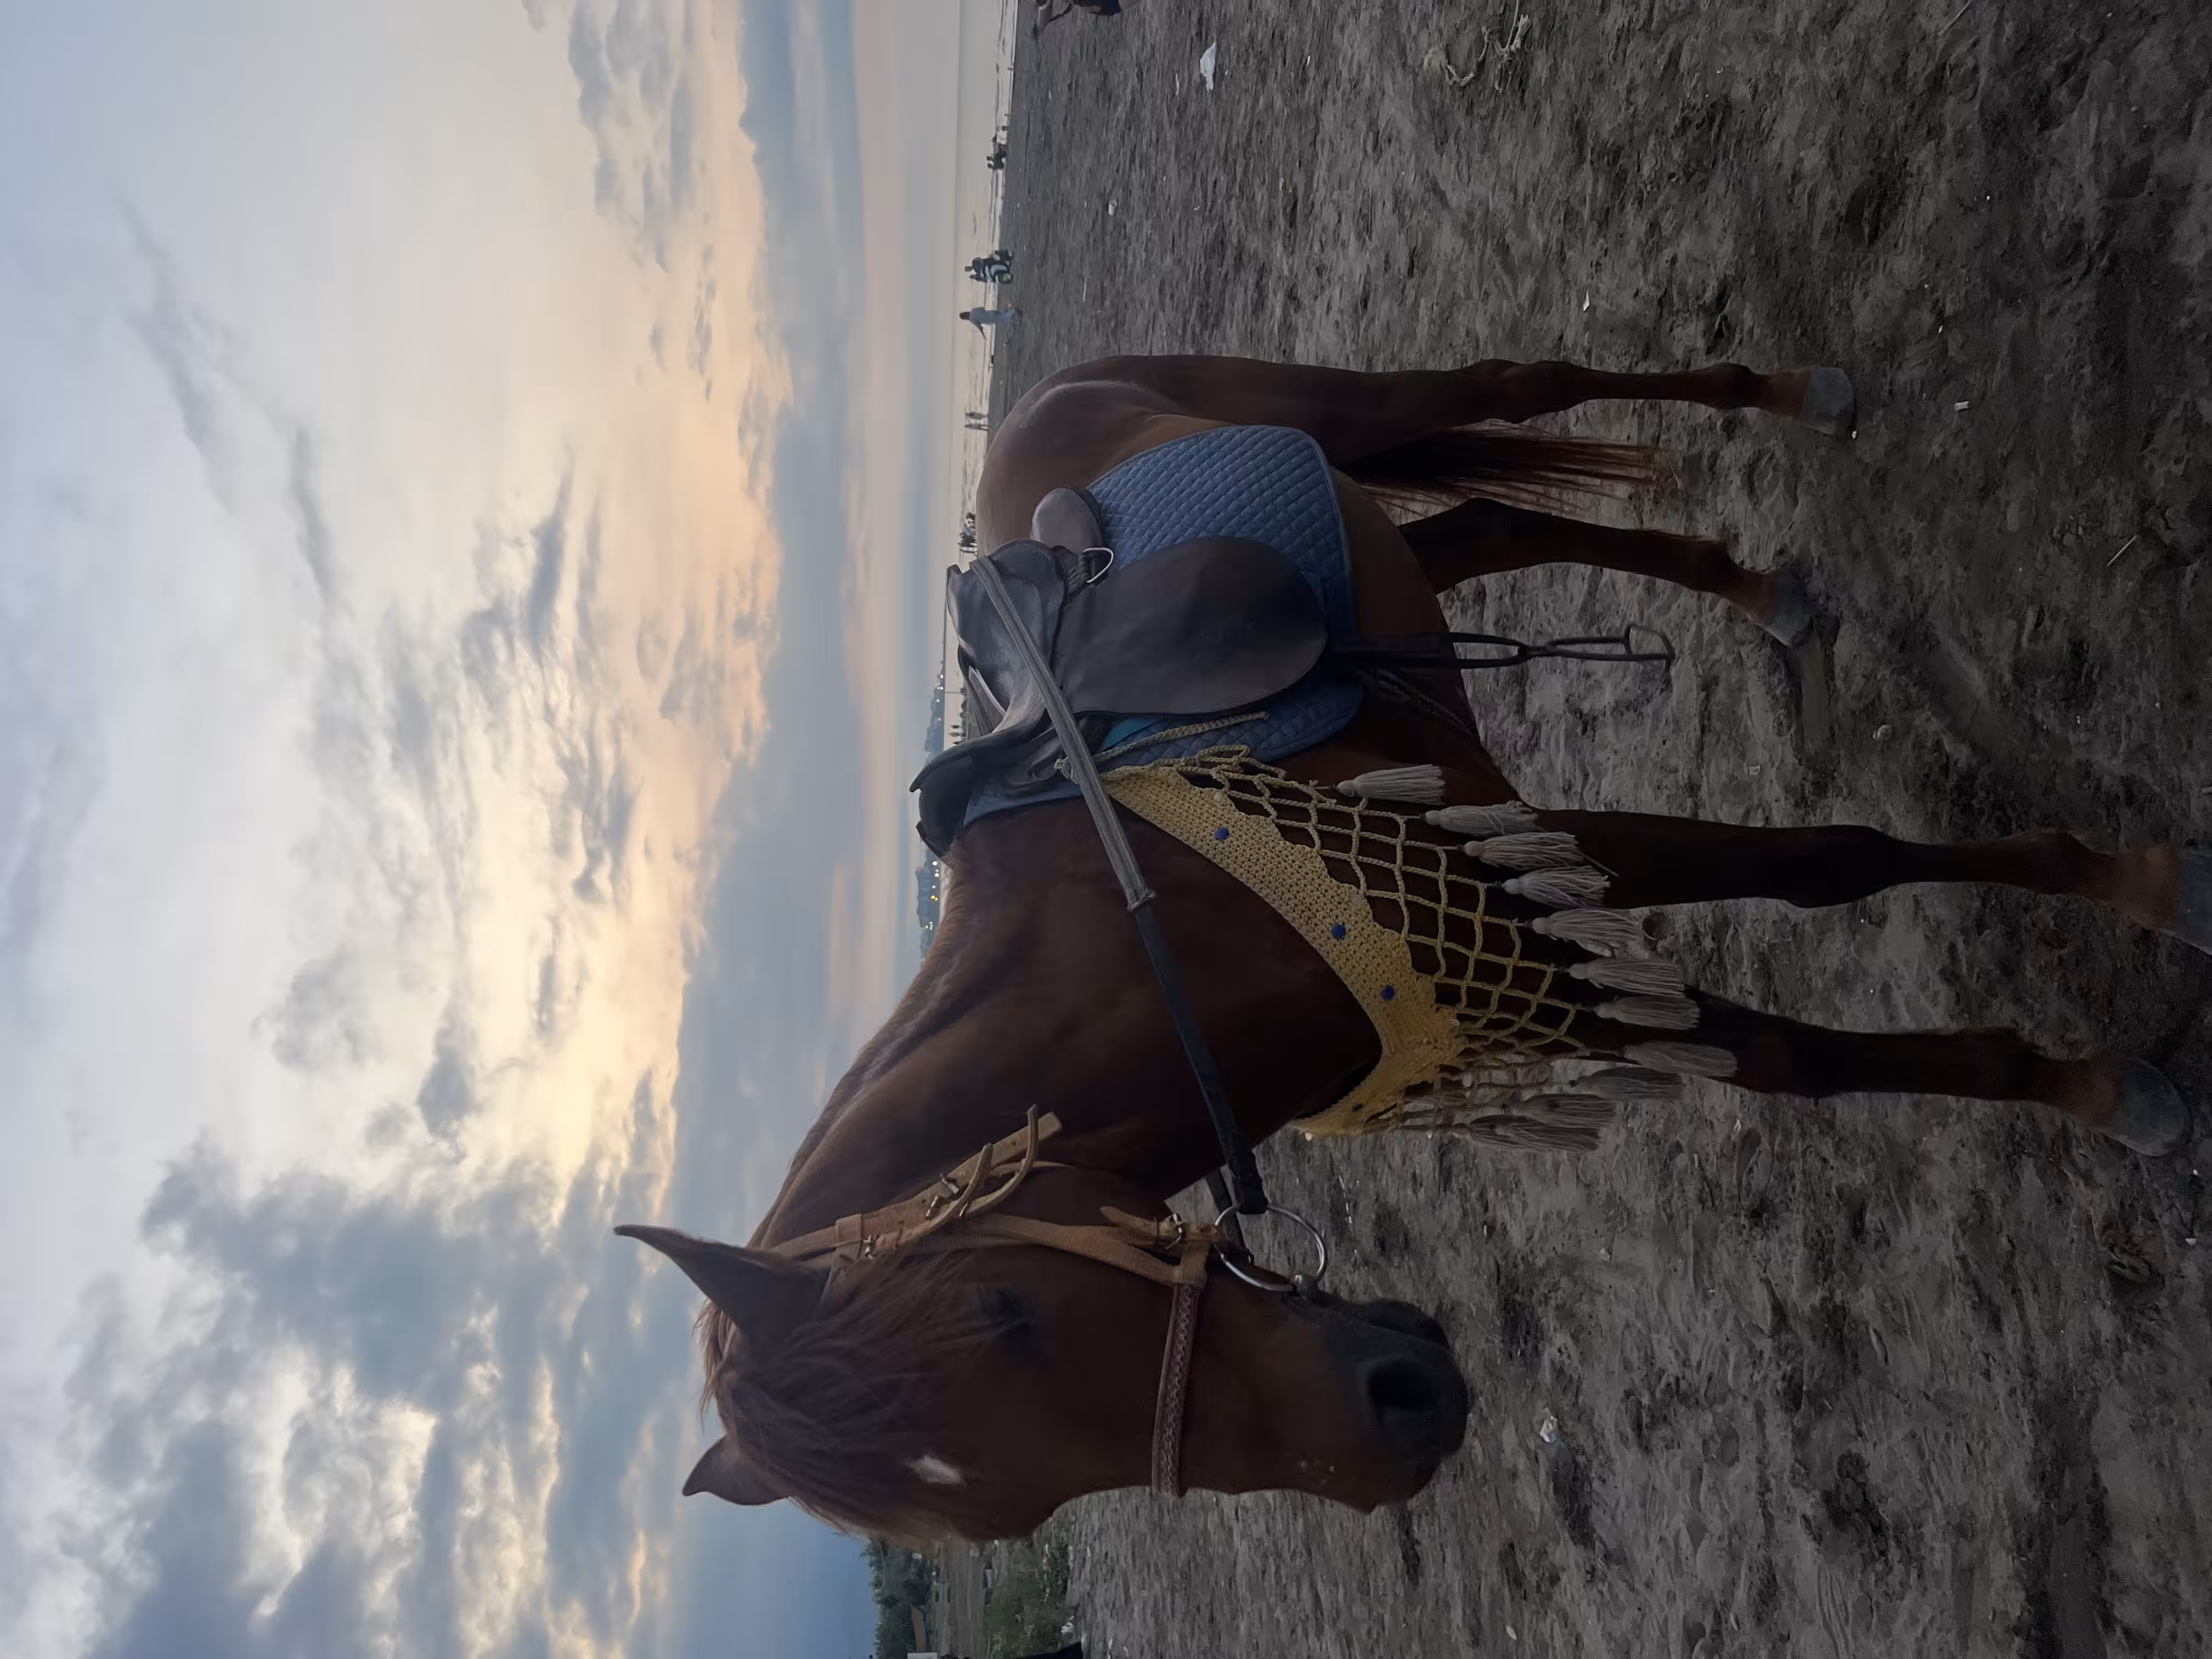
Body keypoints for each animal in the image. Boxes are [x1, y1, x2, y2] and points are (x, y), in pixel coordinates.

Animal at [620, 351, 2207, 1543]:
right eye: (1000, 1520)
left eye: (1005, 1310)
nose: (1402, 1420)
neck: (1141, 952)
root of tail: (1042, 408)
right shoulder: (1515, 956)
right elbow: (1779, 1059)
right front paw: (2092, 1066)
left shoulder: (1525, 866)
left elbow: (1833, 870)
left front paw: (2132, 924)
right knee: (1507, 529)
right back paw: (1763, 594)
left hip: (1348, 407)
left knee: (1529, 382)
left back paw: (1791, 396)